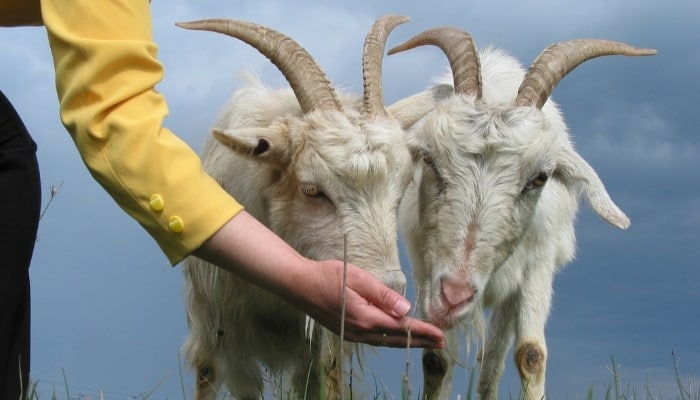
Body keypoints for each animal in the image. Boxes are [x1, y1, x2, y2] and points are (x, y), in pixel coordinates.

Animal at [386, 28, 652, 400]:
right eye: (429, 158)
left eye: (539, 178)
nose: (455, 294)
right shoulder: (426, 267)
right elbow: (437, 360)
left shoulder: (538, 264)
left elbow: (530, 354)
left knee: (491, 364)